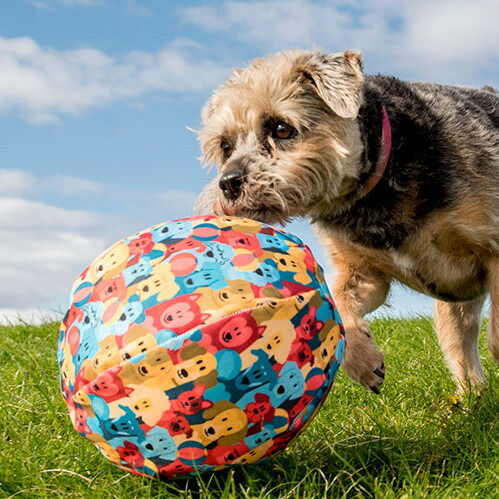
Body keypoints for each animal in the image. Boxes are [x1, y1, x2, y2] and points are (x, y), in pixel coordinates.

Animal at [196, 48, 499, 396]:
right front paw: (363, 361)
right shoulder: (363, 274)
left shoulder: (493, 246)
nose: (229, 183)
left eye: (282, 128)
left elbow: (496, 335)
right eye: (225, 146)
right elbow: (338, 302)